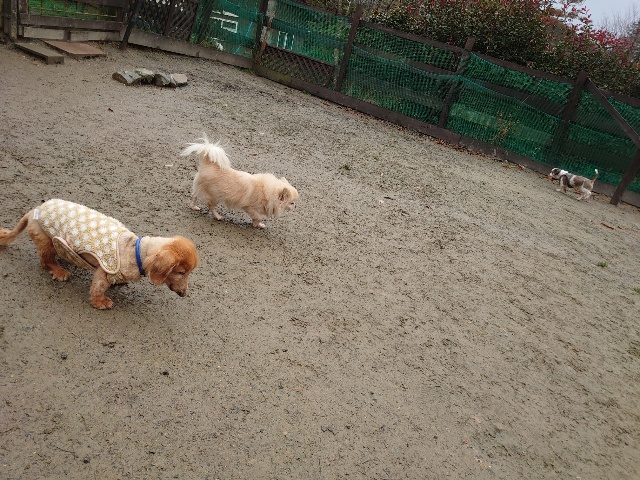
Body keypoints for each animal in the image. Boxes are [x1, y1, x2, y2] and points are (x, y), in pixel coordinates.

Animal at [0, 199, 199, 309]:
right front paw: (100, 302)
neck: (134, 250)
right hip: (46, 240)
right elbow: (98, 287)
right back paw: (59, 270)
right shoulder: (104, 272)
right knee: (45, 260)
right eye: (181, 272)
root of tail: (32, 211)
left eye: (188, 273)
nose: (184, 294)